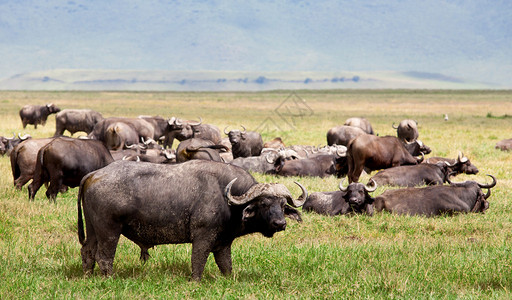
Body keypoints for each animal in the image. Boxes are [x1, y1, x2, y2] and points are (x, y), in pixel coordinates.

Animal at [77, 161, 306, 280]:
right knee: (104, 257)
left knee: (87, 251)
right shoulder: (203, 237)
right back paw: (109, 278)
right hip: (109, 231)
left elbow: (226, 265)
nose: (280, 224)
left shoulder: (223, 243)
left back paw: (88, 276)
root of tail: (94, 174)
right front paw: (196, 281)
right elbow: (198, 261)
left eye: (282, 205)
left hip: (93, 229)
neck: (226, 198)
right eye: (264, 204)